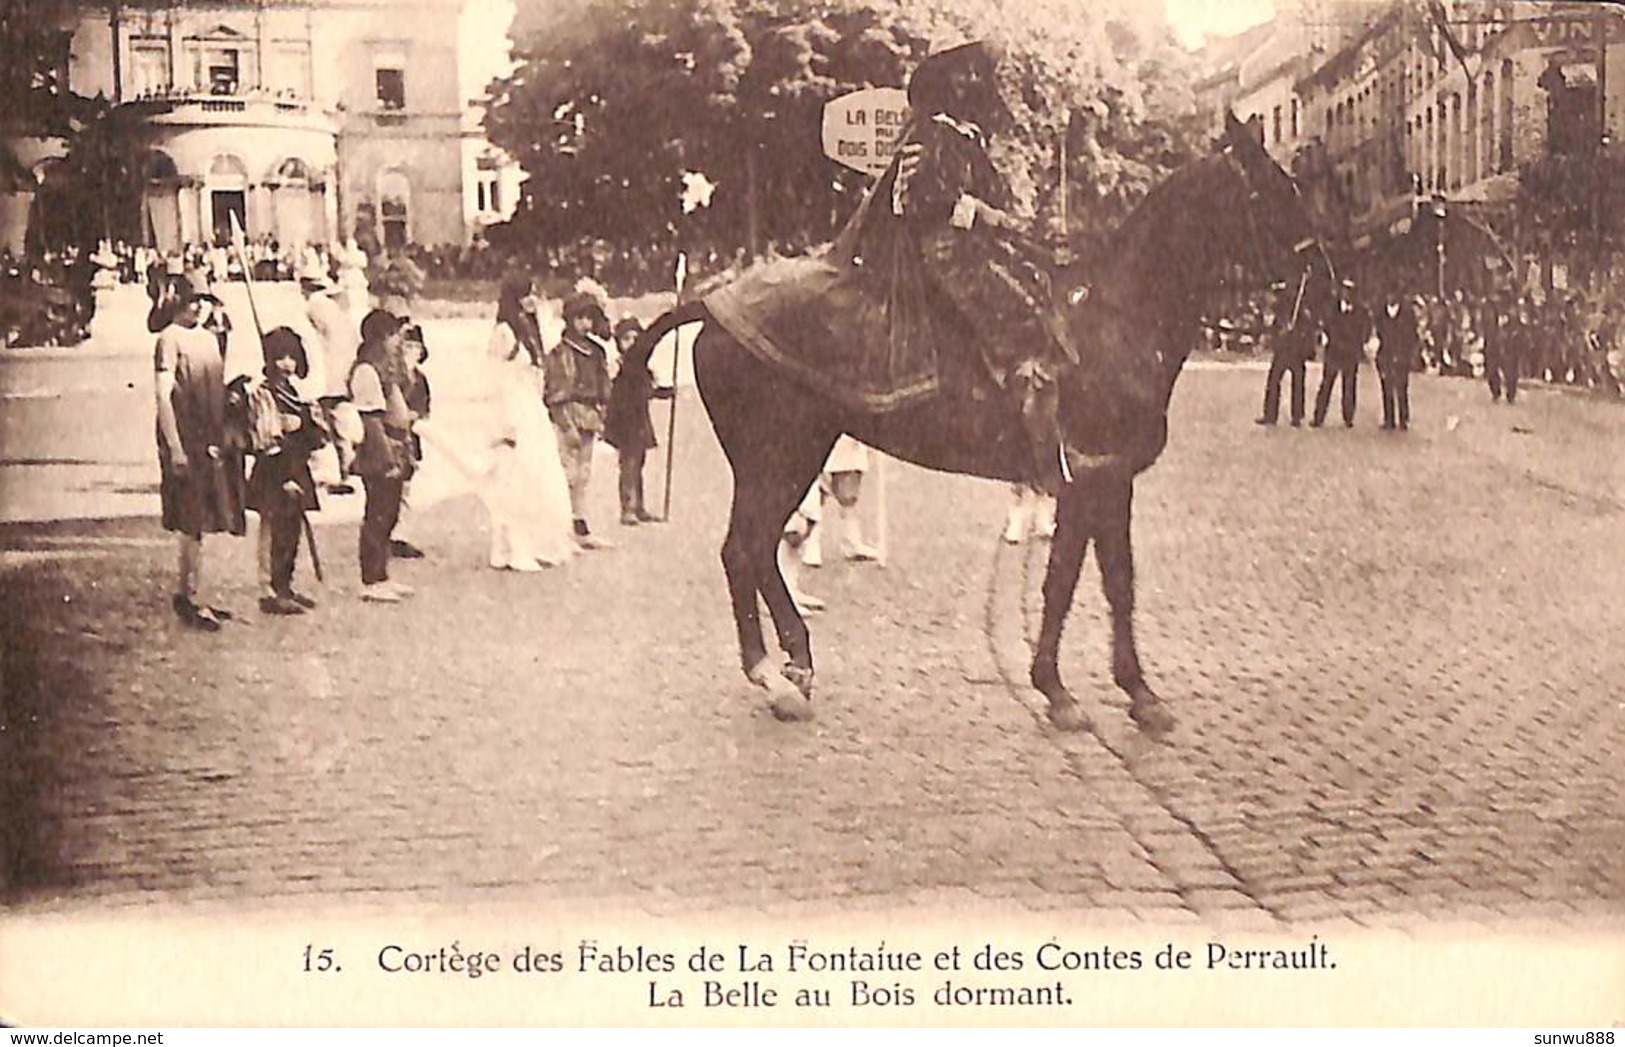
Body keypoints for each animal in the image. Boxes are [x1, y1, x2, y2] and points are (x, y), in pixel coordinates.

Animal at [614, 114, 1326, 731]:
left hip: (789, 456)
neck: (1112, 321)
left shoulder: (1101, 480)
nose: (1323, 274)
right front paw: (1074, 689)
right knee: (744, 550)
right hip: (780, 456)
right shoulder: (1095, 476)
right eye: (1271, 187)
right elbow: (1076, 583)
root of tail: (712, 302)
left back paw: (795, 664)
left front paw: (1119, 690)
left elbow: (1103, 581)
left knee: (757, 550)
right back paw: (775, 676)